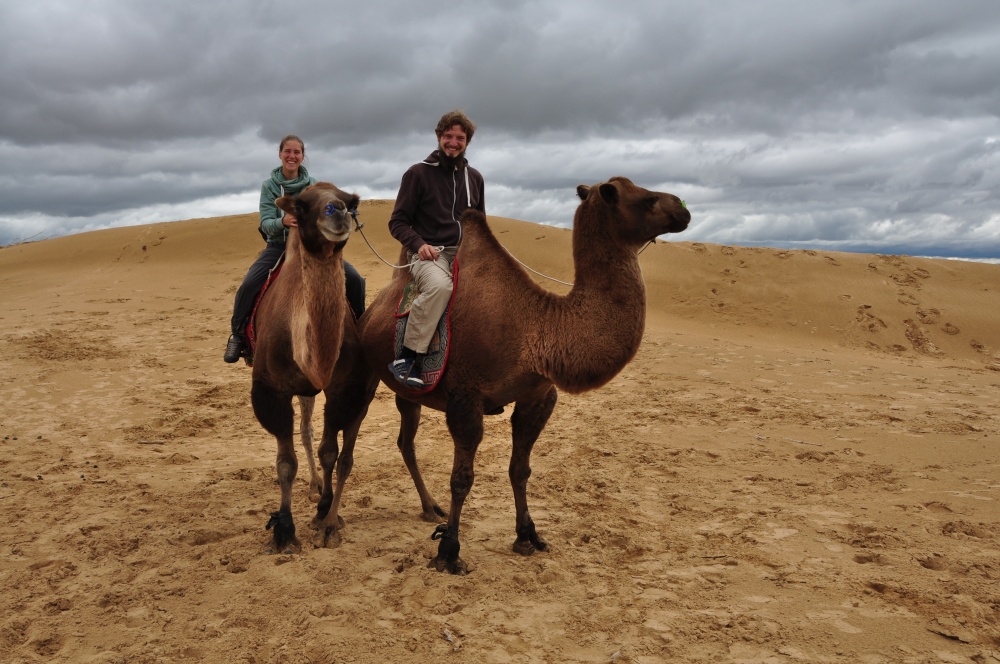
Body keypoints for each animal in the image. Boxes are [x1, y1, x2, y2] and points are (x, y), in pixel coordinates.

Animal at [250, 182, 376, 548]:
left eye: (351, 201)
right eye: (302, 205)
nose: (337, 211)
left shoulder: (341, 387)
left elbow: (329, 452)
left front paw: (325, 515)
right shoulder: (270, 390)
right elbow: (285, 462)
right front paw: (283, 529)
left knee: (310, 431)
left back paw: (317, 488)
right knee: (303, 431)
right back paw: (311, 487)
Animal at [356, 175, 692, 572]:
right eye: (647, 199)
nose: (683, 209)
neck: (537, 327)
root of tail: (376, 305)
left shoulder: (538, 395)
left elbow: (520, 469)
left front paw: (527, 535)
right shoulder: (464, 398)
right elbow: (461, 479)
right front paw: (449, 550)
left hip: (408, 393)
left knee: (405, 442)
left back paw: (429, 507)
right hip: (363, 367)